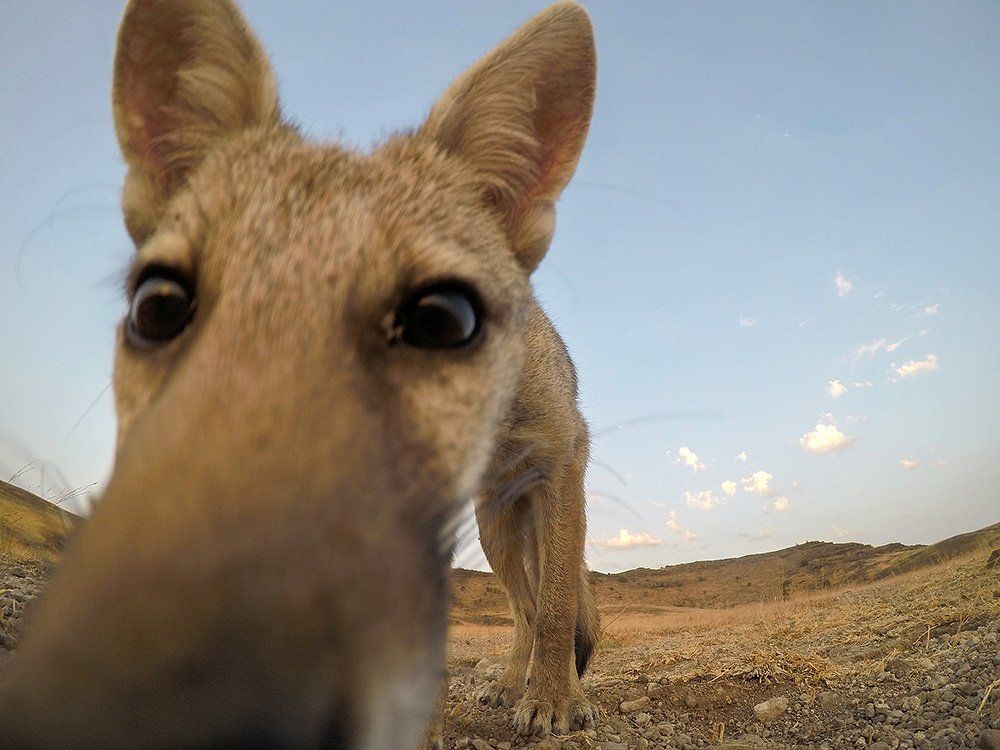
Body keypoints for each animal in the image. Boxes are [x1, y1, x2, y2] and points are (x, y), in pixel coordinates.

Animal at [0, 1, 599, 748]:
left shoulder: (564, 458)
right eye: (156, 305)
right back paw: (511, 677)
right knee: (520, 604)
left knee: (543, 599)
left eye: (443, 320)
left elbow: (559, 605)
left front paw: (554, 699)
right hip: (494, 531)